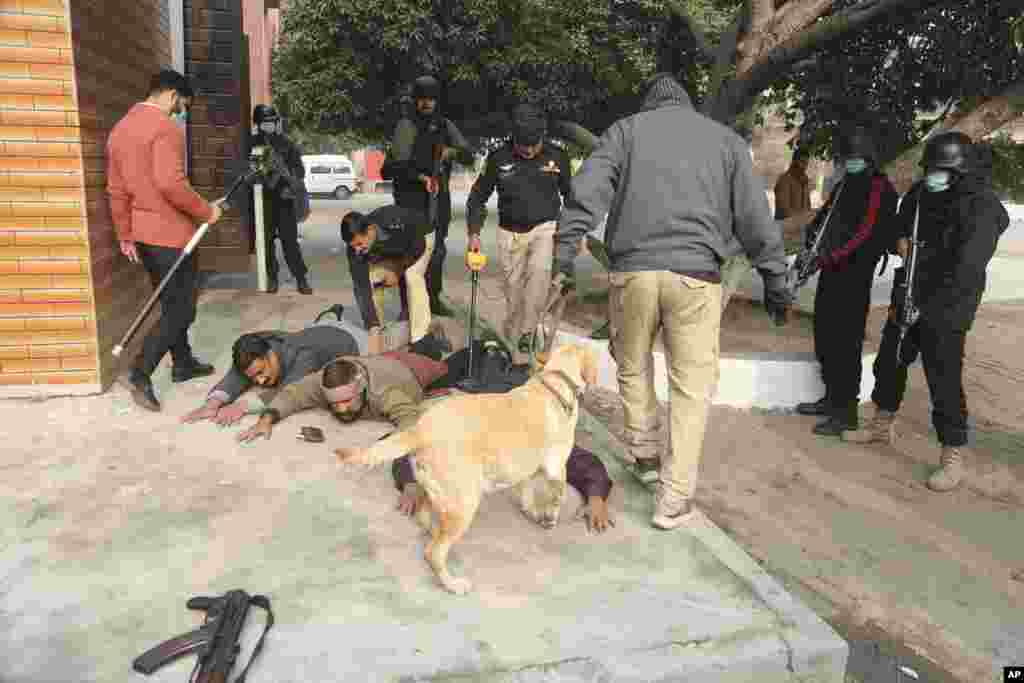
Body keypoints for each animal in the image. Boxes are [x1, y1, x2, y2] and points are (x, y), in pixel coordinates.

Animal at [335, 344, 598, 593]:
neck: (555, 383)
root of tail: (420, 430)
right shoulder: (556, 468)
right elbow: (557, 497)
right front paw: (549, 518)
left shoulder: (525, 468)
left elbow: (526, 492)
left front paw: (531, 510)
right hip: (465, 503)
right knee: (433, 553)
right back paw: (452, 584)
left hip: (437, 492)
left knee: (426, 520)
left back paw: (435, 532)